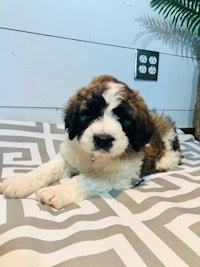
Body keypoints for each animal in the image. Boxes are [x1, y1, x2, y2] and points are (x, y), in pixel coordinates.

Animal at [0, 75, 182, 209]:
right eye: (87, 115)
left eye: (124, 120)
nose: (103, 139)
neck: (95, 157)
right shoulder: (68, 157)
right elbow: (47, 169)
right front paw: (20, 182)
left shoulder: (125, 175)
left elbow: (85, 179)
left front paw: (58, 190)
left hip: (165, 128)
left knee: (176, 151)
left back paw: (164, 162)